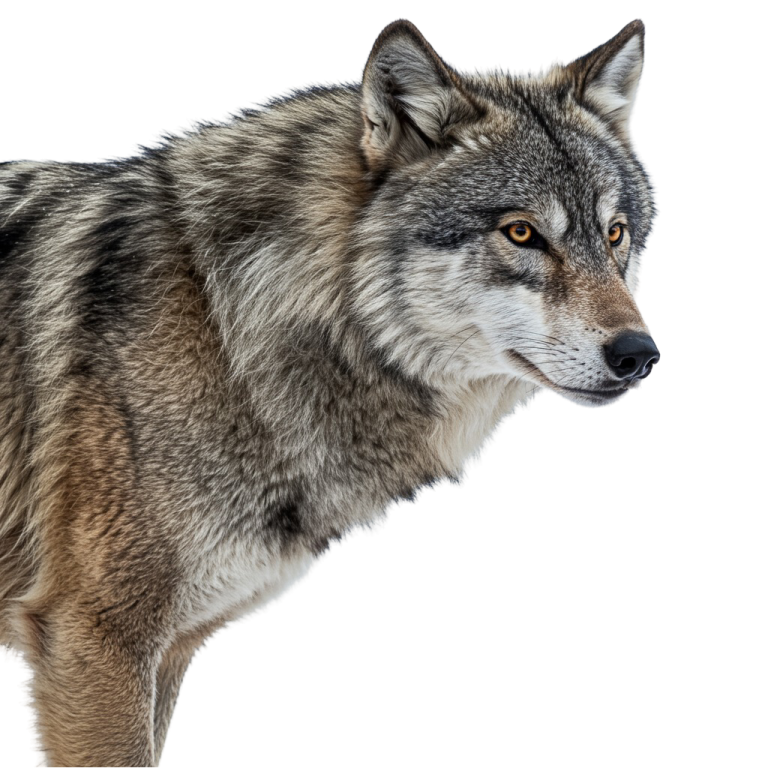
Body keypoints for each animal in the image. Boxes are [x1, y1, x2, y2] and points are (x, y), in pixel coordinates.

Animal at [0, 16, 660, 766]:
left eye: (615, 234)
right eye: (521, 232)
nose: (639, 355)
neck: (228, 323)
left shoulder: (164, 655)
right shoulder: (93, 643)